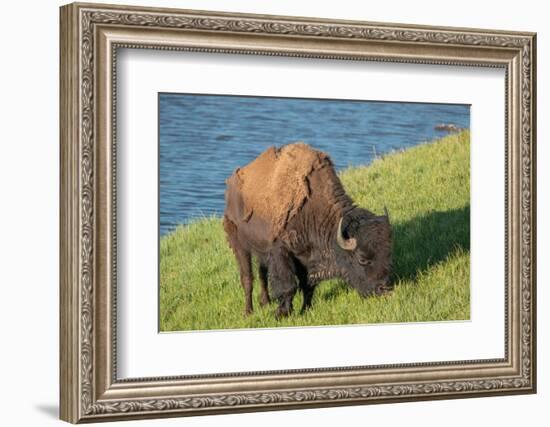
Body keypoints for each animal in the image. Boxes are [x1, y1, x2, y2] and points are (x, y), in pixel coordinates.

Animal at [223, 143, 392, 318]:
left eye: (388, 254)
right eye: (362, 259)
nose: (384, 290)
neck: (313, 208)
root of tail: (232, 184)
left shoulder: (305, 255)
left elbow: (307, 285)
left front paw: (306, 309)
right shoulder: (281, 251)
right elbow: (288, 286)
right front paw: (282, 313)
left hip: (259, 249)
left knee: (262, 274)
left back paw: (265, 302)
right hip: (239, 245)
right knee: (247, 278)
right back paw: (248, 311)